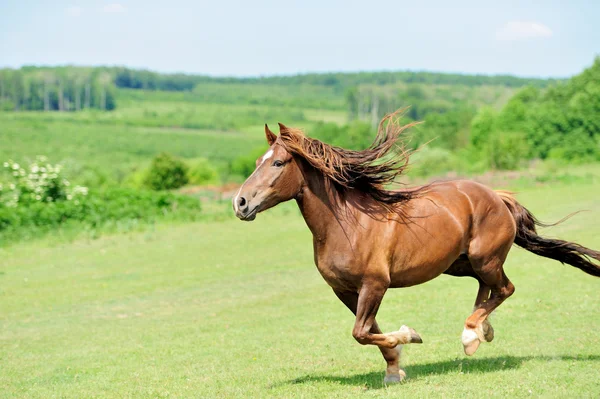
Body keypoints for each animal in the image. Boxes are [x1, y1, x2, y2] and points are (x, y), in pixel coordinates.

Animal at [231, 111, 600, 384]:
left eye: (278, 163)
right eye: (257, 161)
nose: (240, 203)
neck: (348, 224)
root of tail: (498, 197)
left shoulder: (375, 284)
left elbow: (361, 332)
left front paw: (410, 336)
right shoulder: (345, 290)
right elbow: (368, 330)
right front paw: (394, 369)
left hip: (484, 258)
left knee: (505, 288)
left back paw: (471, 334)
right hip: (460, 264)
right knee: (488, 289)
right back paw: (479, 332)